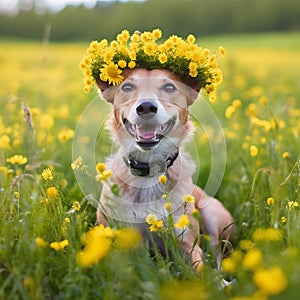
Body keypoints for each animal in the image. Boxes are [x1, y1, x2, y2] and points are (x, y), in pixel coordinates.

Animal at [96, 68, 234, 270]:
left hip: (212, 213)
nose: (146, 107)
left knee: (216, 250)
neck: (149, 169)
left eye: (169, 87)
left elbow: (200, 268)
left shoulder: (187, 243)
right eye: (127, 87)